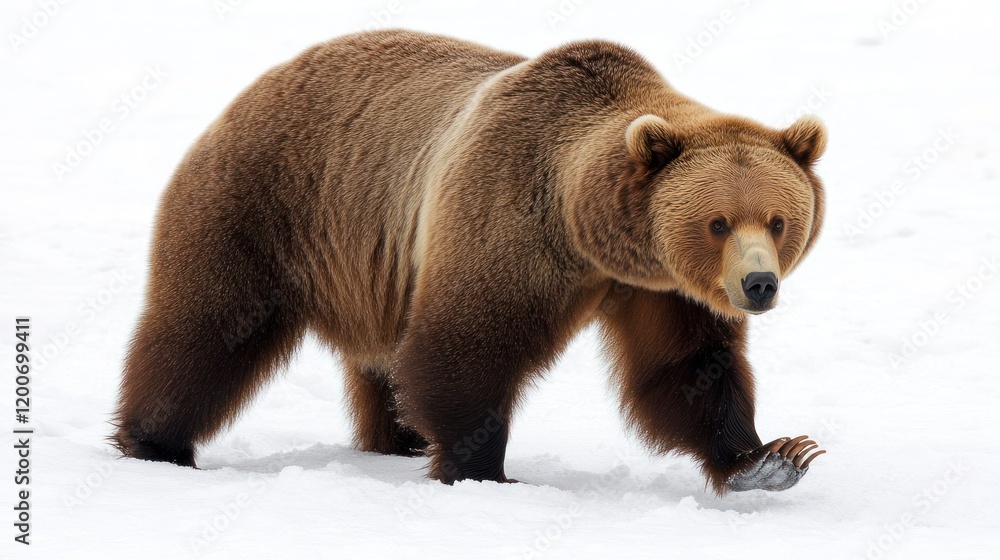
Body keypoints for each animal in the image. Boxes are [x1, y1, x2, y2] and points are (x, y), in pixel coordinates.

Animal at [112, 29, 827, 493]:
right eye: (718, 222)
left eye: (778, 219)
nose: (758, 284)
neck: (592, 233)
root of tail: (255, 86)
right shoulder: (510, 219)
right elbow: (466, 345)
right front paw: (481, 469)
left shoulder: (663, 285)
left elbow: (688, 366)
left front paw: (772, 457)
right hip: (262, 204)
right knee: (207, 326)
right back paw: (154, 442)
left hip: (370, 265)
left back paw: (396, 437)